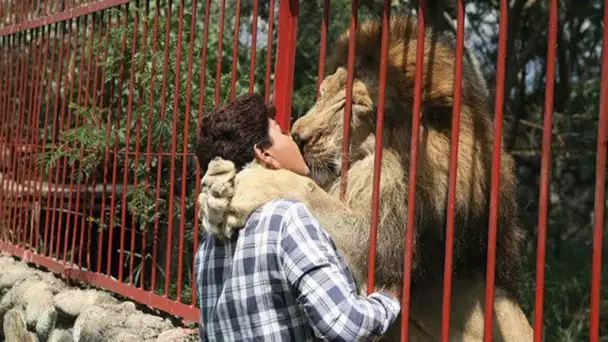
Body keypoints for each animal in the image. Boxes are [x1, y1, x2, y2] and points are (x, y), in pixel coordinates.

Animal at [198, 14, 532, 340]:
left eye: (356, 106)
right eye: (324, 91)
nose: (297, 136)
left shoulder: (382, 254)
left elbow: (308, 191)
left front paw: (243, 184)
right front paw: (214, 190)